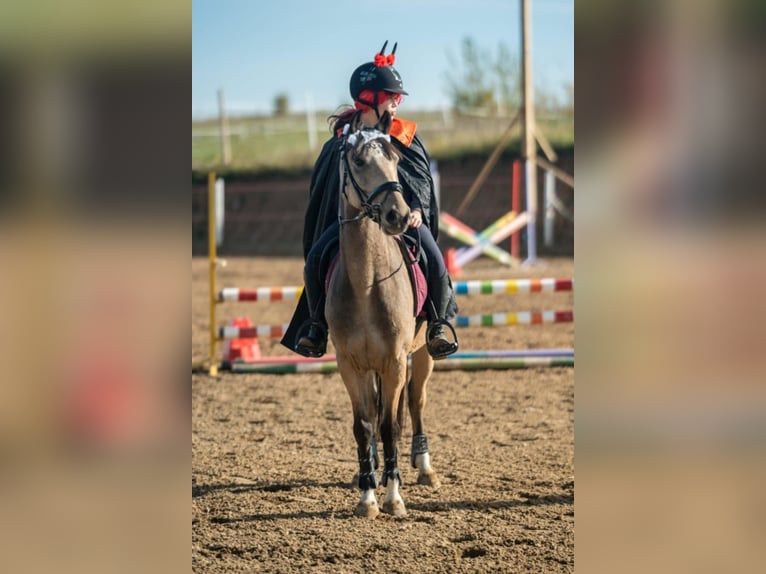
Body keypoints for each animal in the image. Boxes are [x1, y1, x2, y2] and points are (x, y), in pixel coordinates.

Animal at [325, 110, 440, 518]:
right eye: (358, 161)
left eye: (395, 160)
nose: (399, 215)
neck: (366, 284)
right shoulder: (350, 364)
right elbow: (364, 425)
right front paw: (367, 495)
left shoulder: (394, 360)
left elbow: (391, 426)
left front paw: (393, 498)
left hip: (421, 356)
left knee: (416, 403)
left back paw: (424, 468)